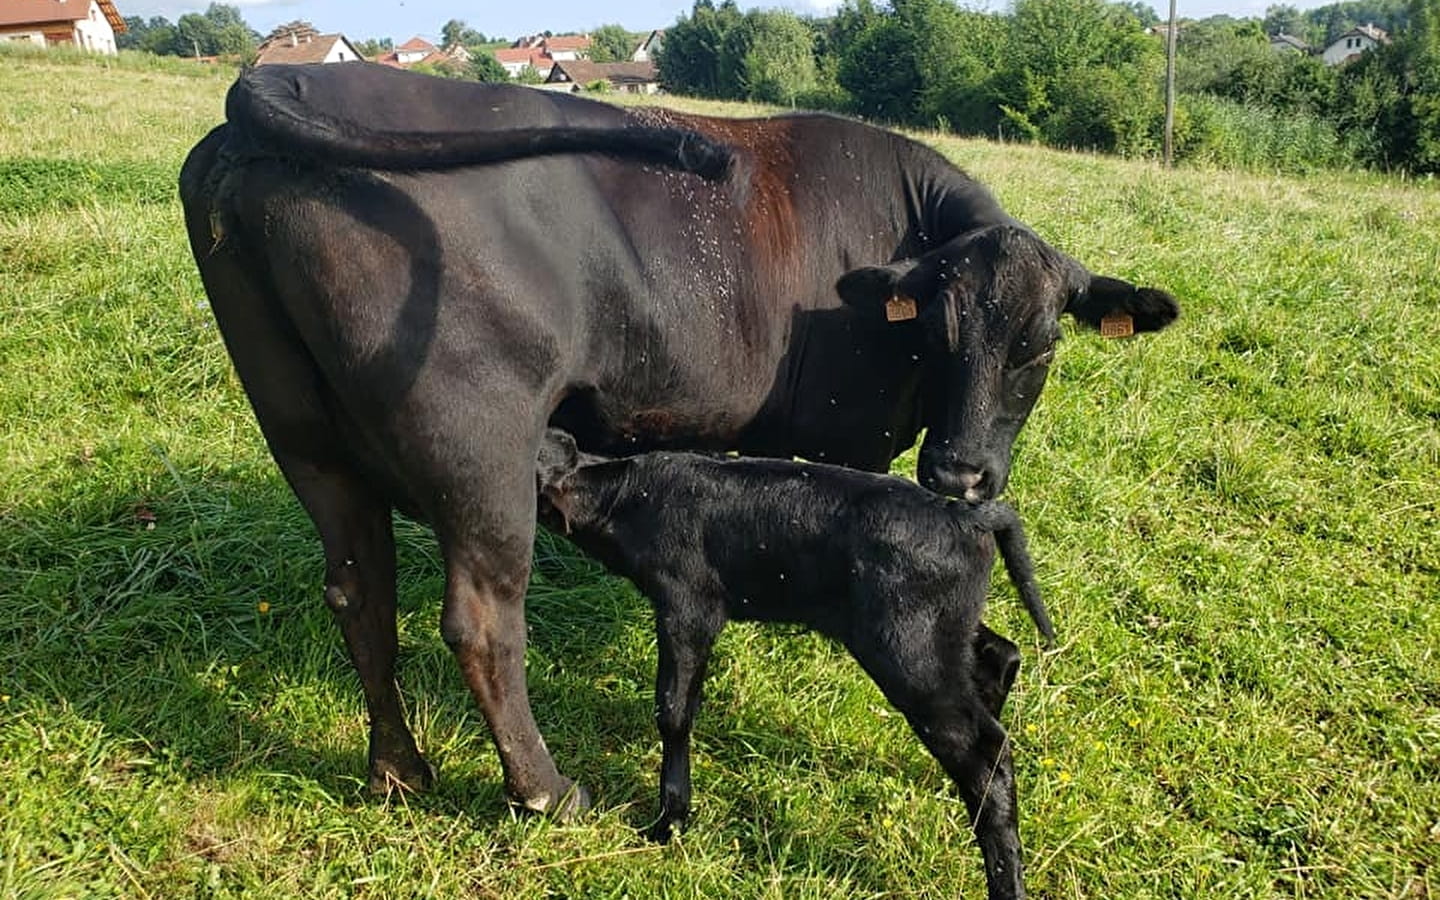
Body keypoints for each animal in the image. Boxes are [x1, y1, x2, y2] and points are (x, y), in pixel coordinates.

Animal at [174, 63, 1175, 817]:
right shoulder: (848, 438)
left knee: (360, 595)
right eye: (940, 327)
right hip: (478, 445)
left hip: (305, 436)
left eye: (1040, 343)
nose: (960, 476)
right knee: (482, 621)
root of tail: (297, 74)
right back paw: (548, 792)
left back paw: (399, 773)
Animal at [535, 429, 1054, 898]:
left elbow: (674, 710)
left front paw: (670, 823)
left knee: (987, 751)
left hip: (909, 652)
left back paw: (1005, 880)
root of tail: (965, 513)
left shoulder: (689, 607)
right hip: (942, 632)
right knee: (1000, 659)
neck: (627, 494)